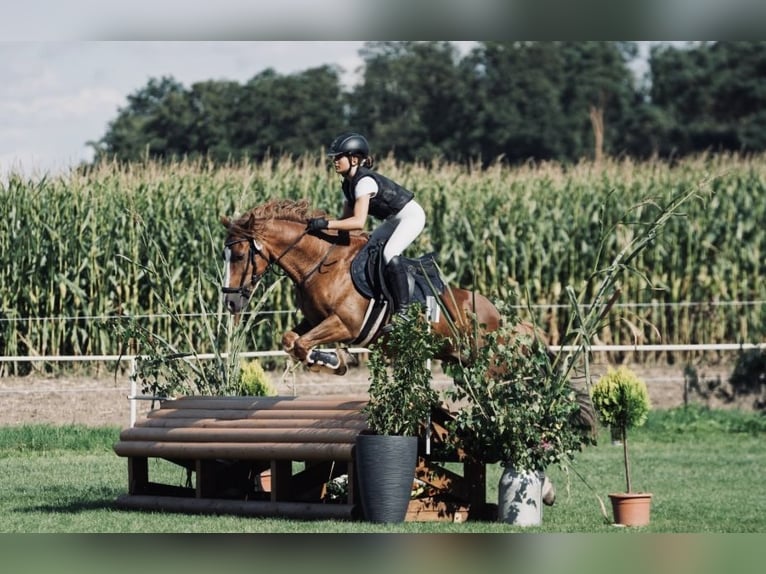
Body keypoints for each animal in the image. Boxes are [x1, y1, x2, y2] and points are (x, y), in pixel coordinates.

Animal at [220, 199, 505, 375]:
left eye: (239, 256)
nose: (230, 302)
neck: (322, 264)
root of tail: (496, 312)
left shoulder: (346, 324)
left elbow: (301, 344)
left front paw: (332, 361)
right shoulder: (315, 320)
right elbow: (292, 340)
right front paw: (328, 360)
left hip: (488, 363)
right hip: (458, 358)